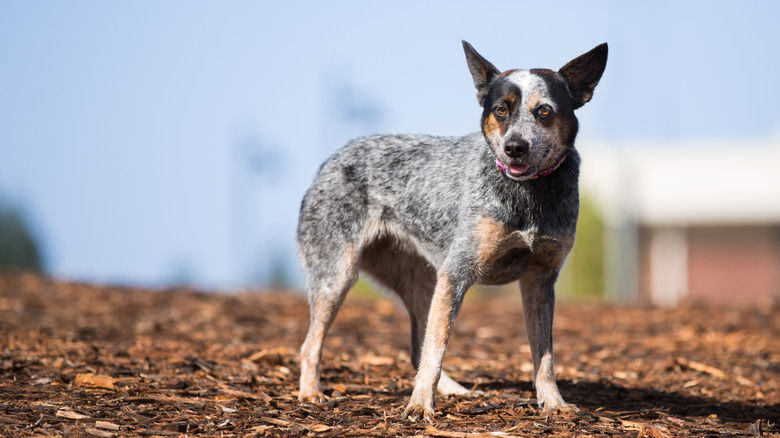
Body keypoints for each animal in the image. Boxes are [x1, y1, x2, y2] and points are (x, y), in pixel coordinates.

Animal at [296, 41, 608, 420]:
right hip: (338, 277)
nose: (514, 147)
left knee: (418, 346)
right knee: (311, 344)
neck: (528, 194)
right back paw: (311, 393)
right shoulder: (458, 272)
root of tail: (331, 160)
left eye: (545, 111)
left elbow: (544, 357)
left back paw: (456, 390)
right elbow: (437, 348)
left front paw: (553, 403)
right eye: (501, 110)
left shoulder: (540, 280)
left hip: (424, 282)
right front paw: (418, 406)